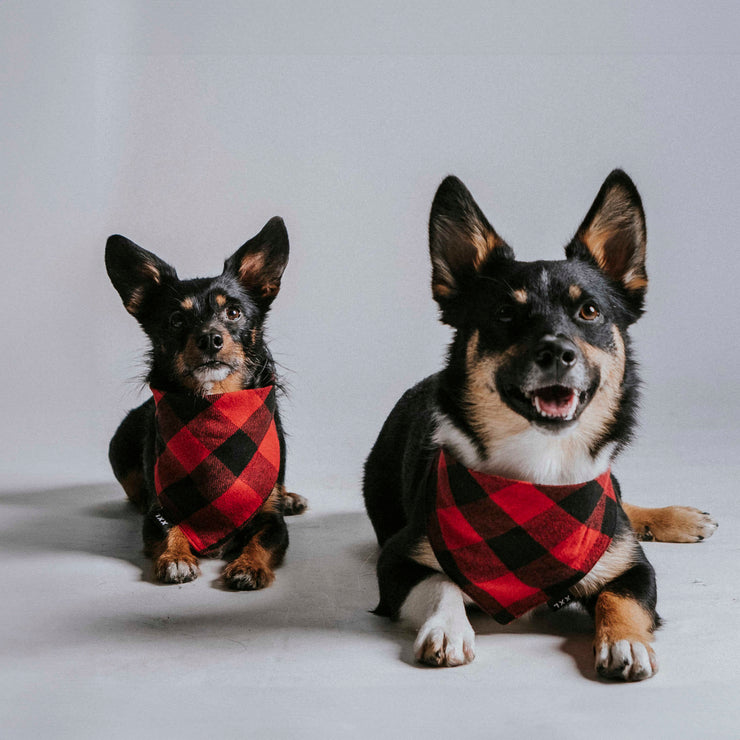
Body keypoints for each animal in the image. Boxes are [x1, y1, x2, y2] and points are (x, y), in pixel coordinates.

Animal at [105, 218, 304, 588]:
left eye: (234, 312)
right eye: (176, 320)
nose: (210, 338)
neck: (214, 404)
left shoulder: (272, 520)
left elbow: (262, 539)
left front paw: (249, 565)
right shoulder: (159, 510)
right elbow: (169, 530)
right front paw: (176, 557)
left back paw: (290, 497)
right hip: (120, 444)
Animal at [364, 171, 716, 680]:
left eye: (589, 311)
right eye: (505, 313)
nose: (556, 352)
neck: (541, 475)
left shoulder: (632, 566)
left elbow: (621, 595)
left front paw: (626, 641)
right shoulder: (397, 558)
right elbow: (441, 584)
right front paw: (447, 629)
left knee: (623, 506)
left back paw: (676, 518)